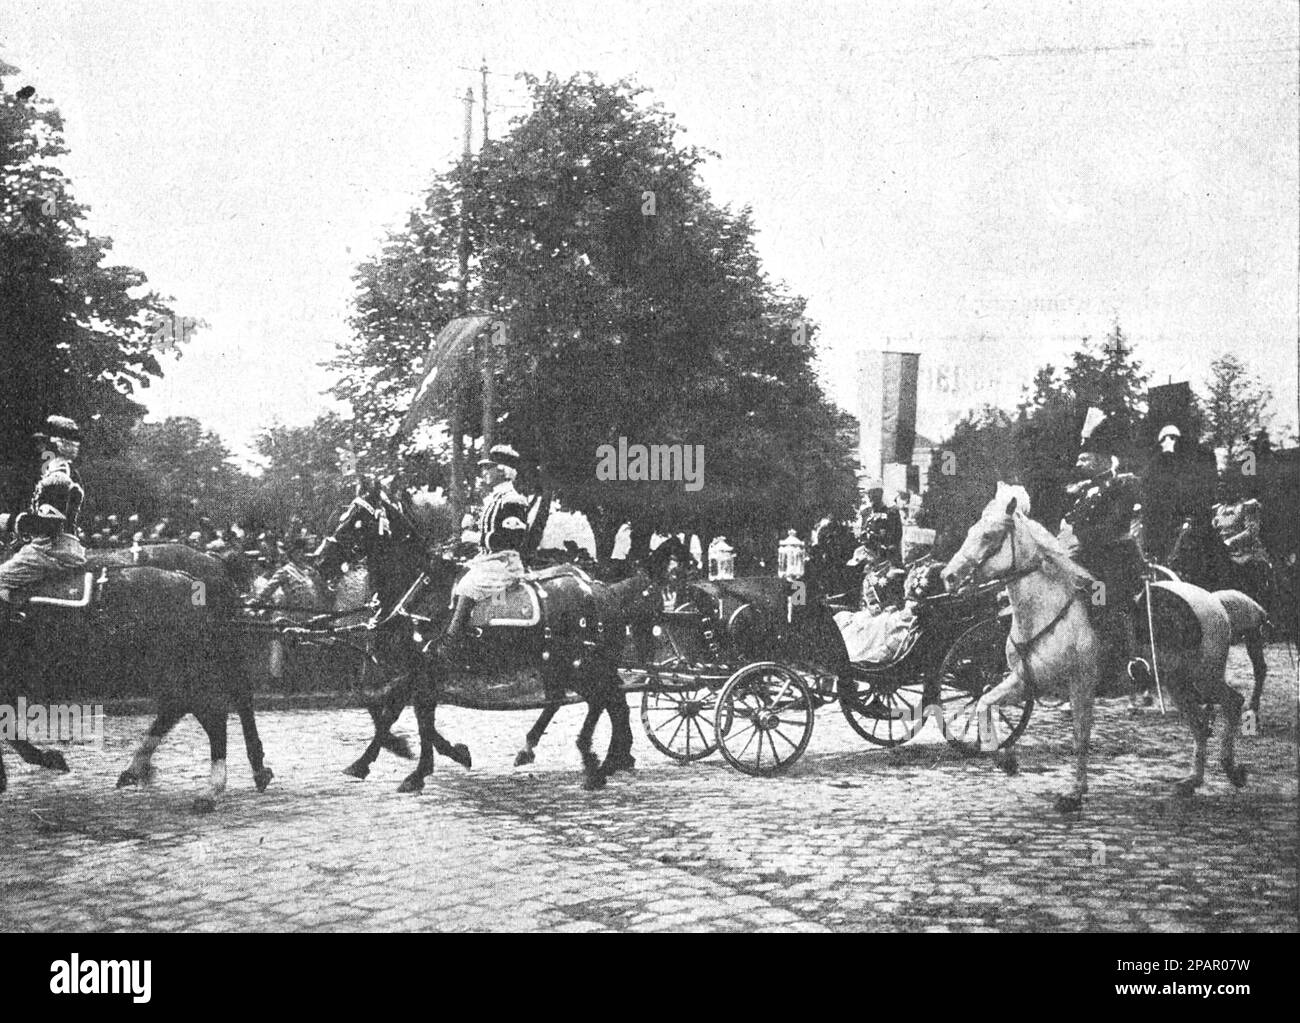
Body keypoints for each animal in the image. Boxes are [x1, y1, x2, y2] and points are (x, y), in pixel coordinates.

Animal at [1, 564, 271, 811]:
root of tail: (190, 581)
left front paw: (45, 760)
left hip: (177, 669)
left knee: (212, 713)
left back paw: (212, 790)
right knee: (194, 705)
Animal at [314, 480, 639, 790]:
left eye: (357, 520)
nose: (319, 560)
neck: (419, 590)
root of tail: (601, 589)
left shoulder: (423, 668)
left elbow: (417, 717)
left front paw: (418, 771)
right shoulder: (413, 670)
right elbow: (395, 713)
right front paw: (370, 761)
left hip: (580, 665)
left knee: (607, 700)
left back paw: (599, 763)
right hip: (566, 665)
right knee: (602, 700)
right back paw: (601, 759)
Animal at [941, 483, 1242, 811]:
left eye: (989, 536)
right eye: (972, 531)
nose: (948, 577)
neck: (1044, 611)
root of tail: (1213, 600)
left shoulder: (1081, 685)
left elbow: (1080, 738)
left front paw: (1074, 793)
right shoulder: (1024, 681)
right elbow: (985, 703)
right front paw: (1003, 756)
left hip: (1205, 677)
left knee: (1233, 702)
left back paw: (1230, 768)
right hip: (1177, 683)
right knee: (1199, 723)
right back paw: (1192, 781)